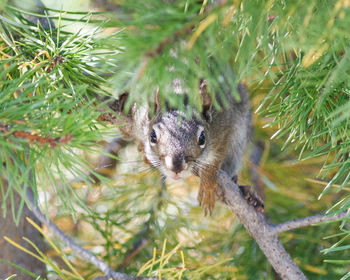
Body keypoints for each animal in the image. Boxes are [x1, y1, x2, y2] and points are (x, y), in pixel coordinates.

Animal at [112, 74, 262, 214]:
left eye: (202, 138)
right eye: (152, 136)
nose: (176, 167)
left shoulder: (223, 124)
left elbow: (213, 161)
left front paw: (208, 185)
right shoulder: (139, 116)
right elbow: (126, 132)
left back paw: (246, 194)